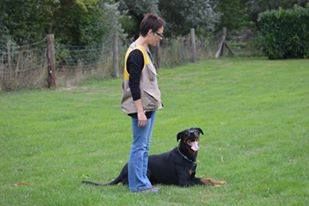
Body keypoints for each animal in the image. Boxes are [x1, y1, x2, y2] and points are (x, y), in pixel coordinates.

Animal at [82, 127, 224, 187]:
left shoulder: (192, 176)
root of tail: (122, 170)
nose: (192, 133)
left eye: (195, 130)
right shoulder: (185, 182)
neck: (186, 156)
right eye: (185, 133)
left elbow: (206, 178)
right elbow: (202, 182)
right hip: (146, 170)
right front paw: (216, 186)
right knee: (125, 183)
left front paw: (219, 182)